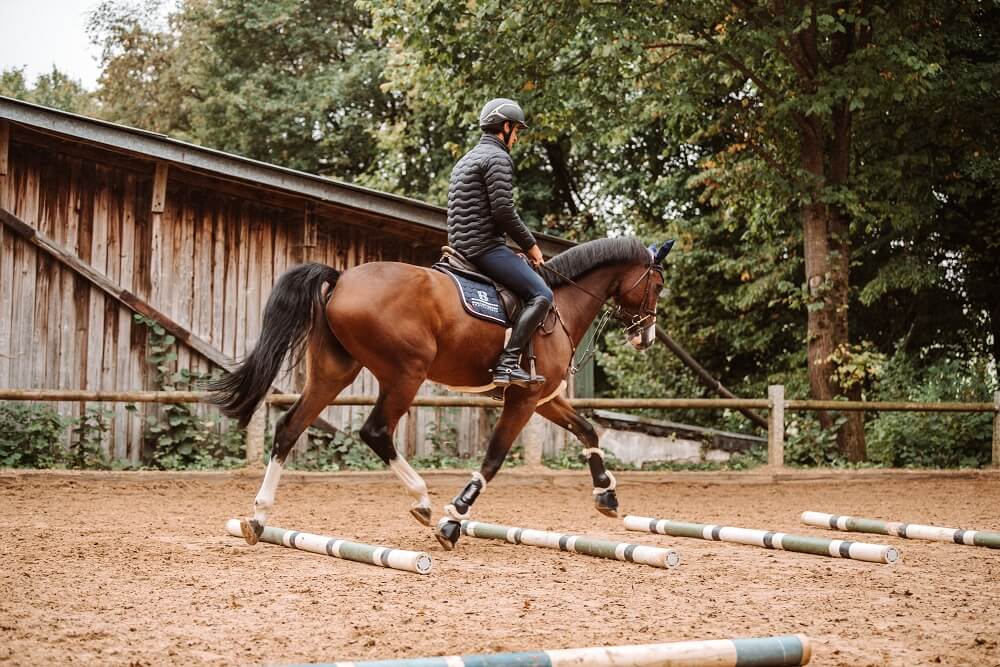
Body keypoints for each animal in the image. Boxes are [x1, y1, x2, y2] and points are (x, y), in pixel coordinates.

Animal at [206, 237, 668, 552]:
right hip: (406, 373)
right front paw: (454, 519)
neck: (560, 303)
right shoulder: (521, 400)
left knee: (289, 428)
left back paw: (258, 517)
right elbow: (494, 457)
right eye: (658, 285)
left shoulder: (544, 398)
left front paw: (606, 493)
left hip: (333, 373)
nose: (646, 337)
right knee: (376, 431)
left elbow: (588, 430)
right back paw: (424, 501)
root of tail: (341, 278)